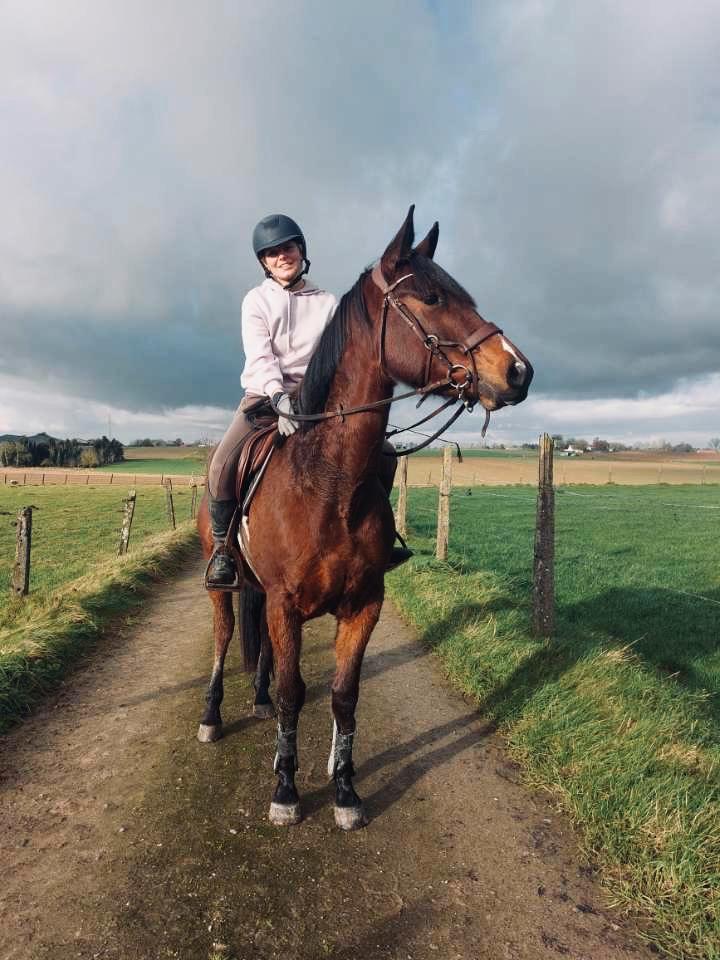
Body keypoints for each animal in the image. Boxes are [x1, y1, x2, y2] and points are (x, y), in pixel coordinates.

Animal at [196, 206, 533, 830]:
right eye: (431, 297)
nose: (519, 371)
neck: (328, 484)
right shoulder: (286, 605)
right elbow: (294, 693)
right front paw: (286, 790)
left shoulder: (362, 605)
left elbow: (343, 696)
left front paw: (346, 789)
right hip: (219, 583)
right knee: (225, 636)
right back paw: (211, 715)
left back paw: (256, 699)